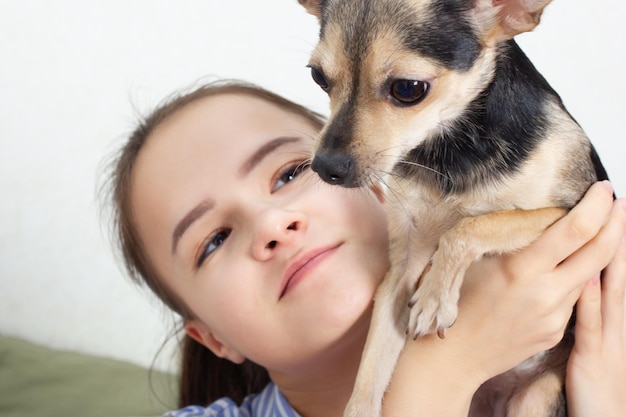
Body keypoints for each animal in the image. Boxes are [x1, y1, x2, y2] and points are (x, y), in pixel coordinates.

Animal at [298, 0, 608, 416]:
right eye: (319, 78)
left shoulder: (576, 213)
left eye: (408, 89)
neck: (451, 153)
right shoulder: (402, 269)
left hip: (537, 396)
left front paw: (435, 297)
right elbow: (370, 370)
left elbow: (470, 227)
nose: (325, 167)